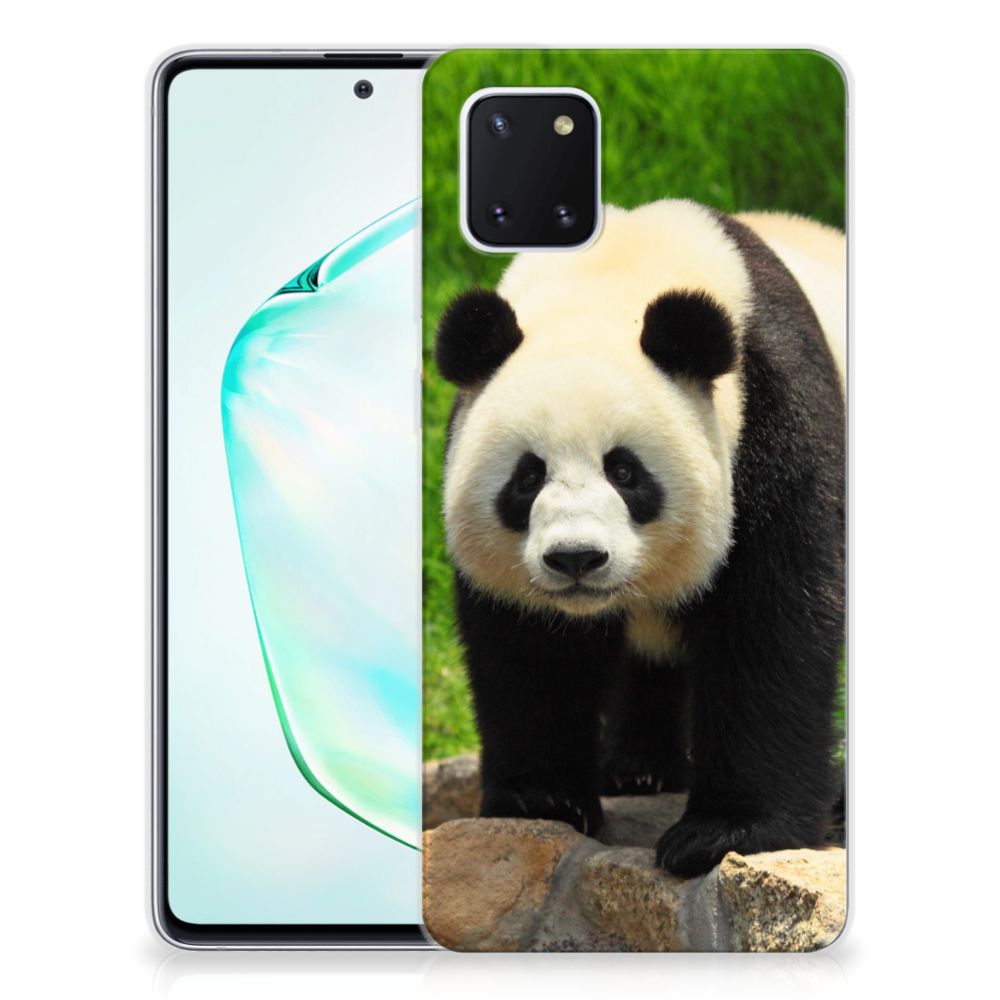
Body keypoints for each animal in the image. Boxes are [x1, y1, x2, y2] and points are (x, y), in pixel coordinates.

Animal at [433, 199, 845, 877]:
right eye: (527, 476)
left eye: (624, 472)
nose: (576, 558)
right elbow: (530, 647)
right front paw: (542, 799)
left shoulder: (776, 419)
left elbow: (772, 622)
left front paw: (723, 832)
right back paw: (638, 768)